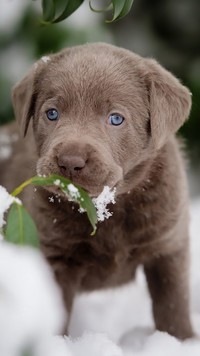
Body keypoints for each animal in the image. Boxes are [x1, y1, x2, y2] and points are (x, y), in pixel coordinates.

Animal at [0, 44, 194, 340]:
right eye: (52, 113)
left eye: (115, 118)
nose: (70, 161)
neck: (106, 209)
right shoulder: (53, 252)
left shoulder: (168, 244)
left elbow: (173, 303)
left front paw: (181, 340)